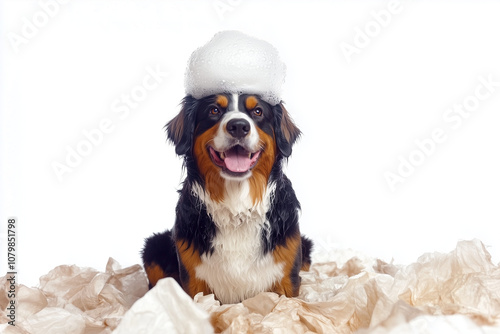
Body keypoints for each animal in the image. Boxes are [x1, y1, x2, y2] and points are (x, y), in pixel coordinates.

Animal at [142, 92, 312, 306]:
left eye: (258, 111)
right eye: (214, 110)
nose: (238, 126)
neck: (236, 206)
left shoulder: (287, 276)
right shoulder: (193, 279)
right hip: (153, 248)